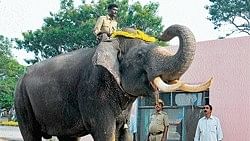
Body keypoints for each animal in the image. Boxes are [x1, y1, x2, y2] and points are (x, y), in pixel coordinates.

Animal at [14, 24, 211, 140]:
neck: (112, 42)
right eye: (140, 55)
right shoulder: (93, 91)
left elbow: (124, 132)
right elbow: (105, 133)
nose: (162, 35)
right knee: (31, 133)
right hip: (21, 101)